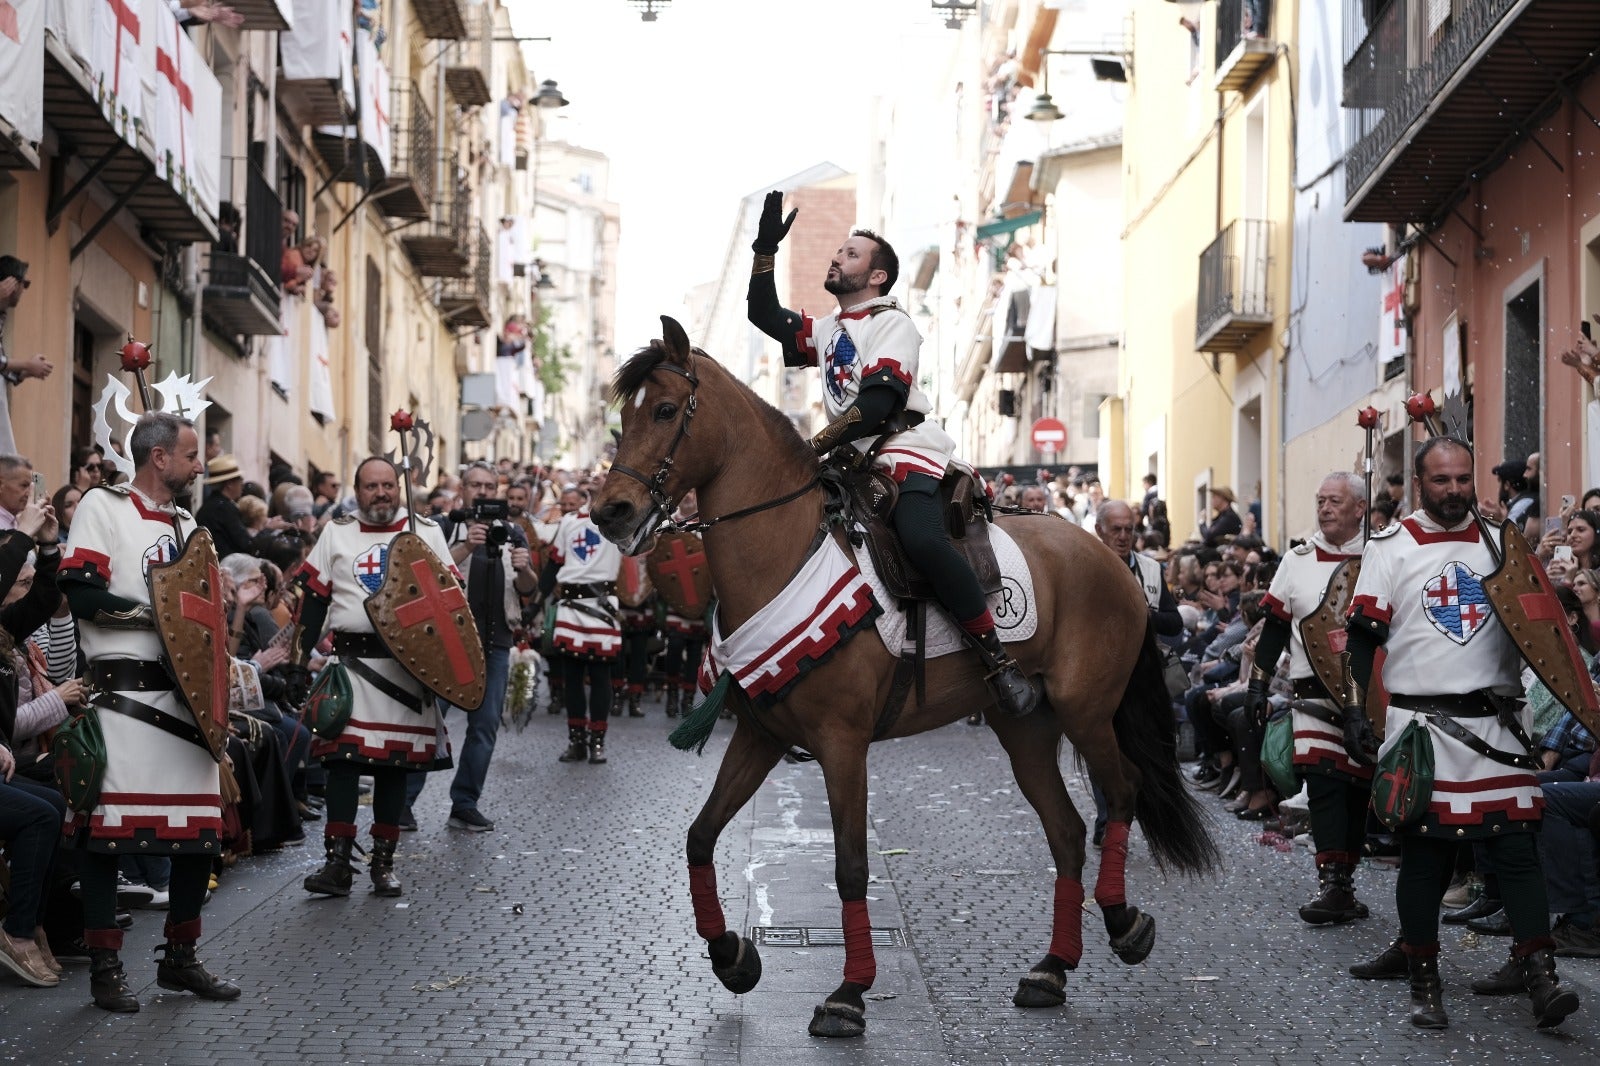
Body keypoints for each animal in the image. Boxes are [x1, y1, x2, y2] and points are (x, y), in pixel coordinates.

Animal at [598, 320, 1209, 1030]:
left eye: (666, 411)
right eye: (623, 416)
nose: (610, 512)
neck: (786, 548)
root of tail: (1114, 558)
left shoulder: (842, 745)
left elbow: (850, 866)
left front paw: (848, 992)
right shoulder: (761, 737)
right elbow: (700, 837)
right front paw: (732, 957)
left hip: (1088, 712)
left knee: (1123, 792)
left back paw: (1124, 923)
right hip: (1026, 728)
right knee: (1066, 830)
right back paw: (1052, 968)